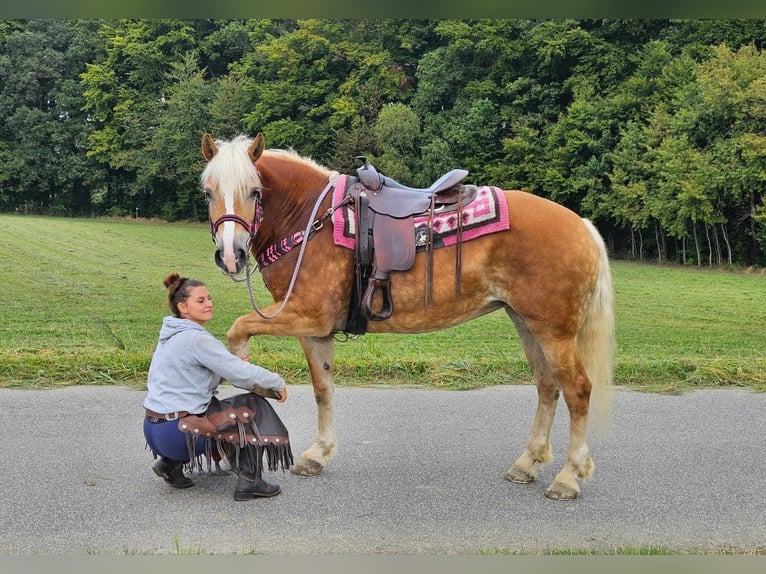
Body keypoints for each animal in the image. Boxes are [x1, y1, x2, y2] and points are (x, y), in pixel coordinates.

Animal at [200, 133, 616, 502]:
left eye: (255, 191)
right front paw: (318, 453)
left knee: (578, 390)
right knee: (548, 387)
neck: (311, 219)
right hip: (527, 323)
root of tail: (581, 225)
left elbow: (237, 331)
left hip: (554, 331)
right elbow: (323, 389)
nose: (231, 254)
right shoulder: (314, 330)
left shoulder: (305, 316)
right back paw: (527, 463)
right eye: (208, 191)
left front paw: (255, 383)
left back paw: (568, 477)